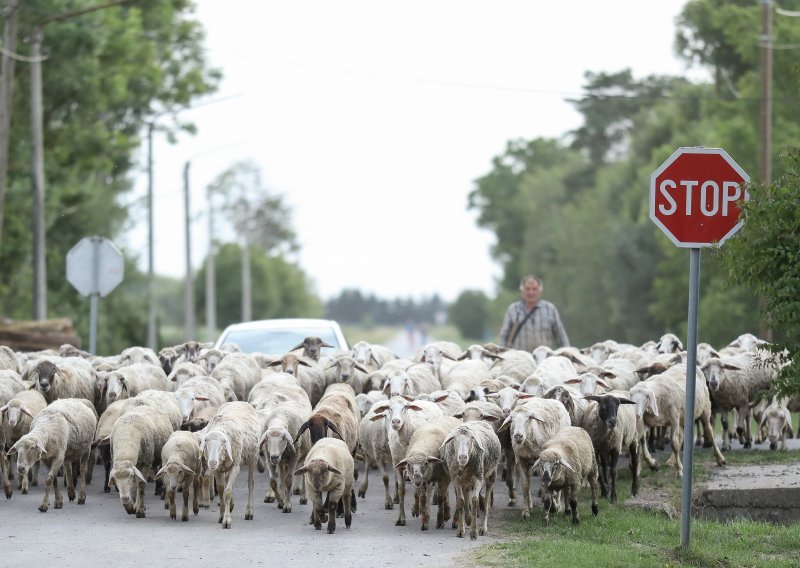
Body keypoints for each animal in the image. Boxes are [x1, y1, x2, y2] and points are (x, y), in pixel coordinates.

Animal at [198, 400, 260, 528]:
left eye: (224, 442)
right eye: (206, 441)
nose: (212, 462)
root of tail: (240, 401)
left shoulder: (235, 467)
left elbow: (227, 492)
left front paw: (227, 520)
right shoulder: (217, 469)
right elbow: (221, 490)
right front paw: (222, 515)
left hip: (253, 457)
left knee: (250, 484)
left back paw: (249, 512)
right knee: (228, 483)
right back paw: (231, 505)